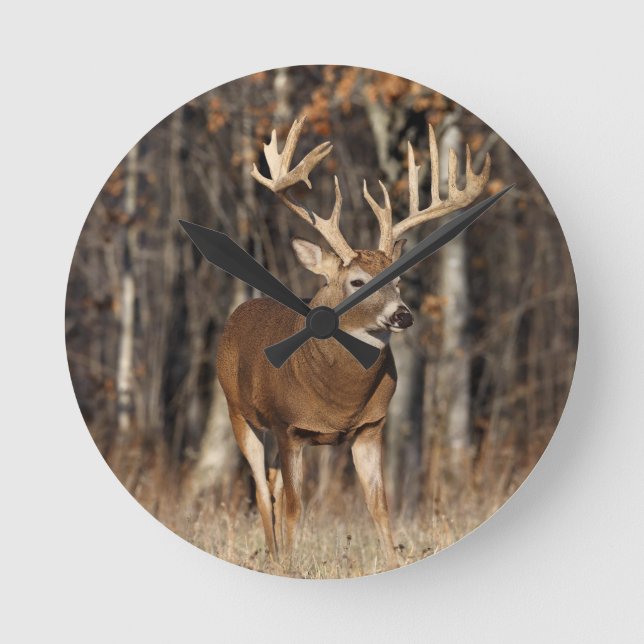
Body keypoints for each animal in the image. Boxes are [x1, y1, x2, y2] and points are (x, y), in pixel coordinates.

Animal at [215, 117, 490, 569]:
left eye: (398, 279)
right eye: (357, 282)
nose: (402, 315)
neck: (339, 400)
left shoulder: (370, 427)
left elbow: (379, 504)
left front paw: (393, 562)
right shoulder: (289, 426)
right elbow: (295, 506)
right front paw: (292, 566)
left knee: (271, 483)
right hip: (239, 413)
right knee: (261, 487)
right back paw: (275, 557)